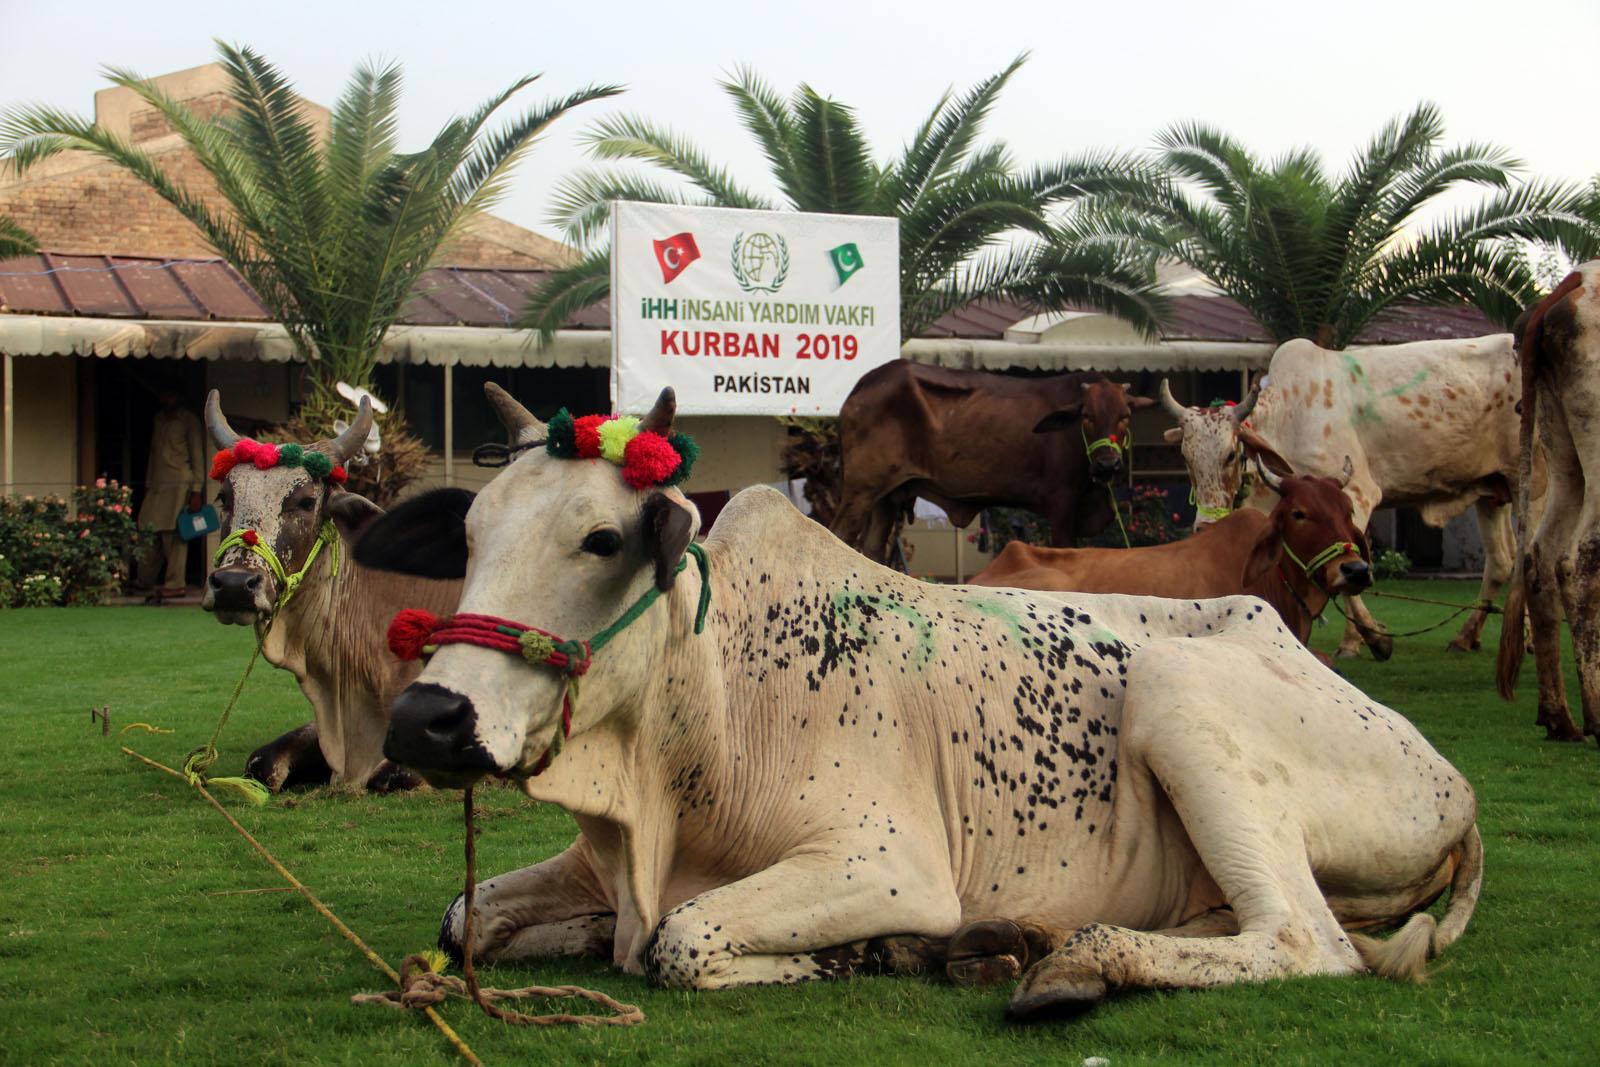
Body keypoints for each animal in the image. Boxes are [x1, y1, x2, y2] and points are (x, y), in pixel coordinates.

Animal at [829, 362, 1156, 563]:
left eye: (1125, 415)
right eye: (1087, 416)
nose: (1107, 465)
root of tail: (864, 383)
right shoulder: (1062, 503)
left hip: (886, 497)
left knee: (871, 549)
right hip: (861, 489)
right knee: (839, 535)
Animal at [1158, 332, 1527, 660]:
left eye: (1231, 455)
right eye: (1186, 457)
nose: (1205, 527)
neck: (1290, 414)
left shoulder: (1357, 495)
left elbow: (1354, 565)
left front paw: (1372, 640)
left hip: (1525, 482)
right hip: (1490, 492)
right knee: (1502, 561)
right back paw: (1469, 637)